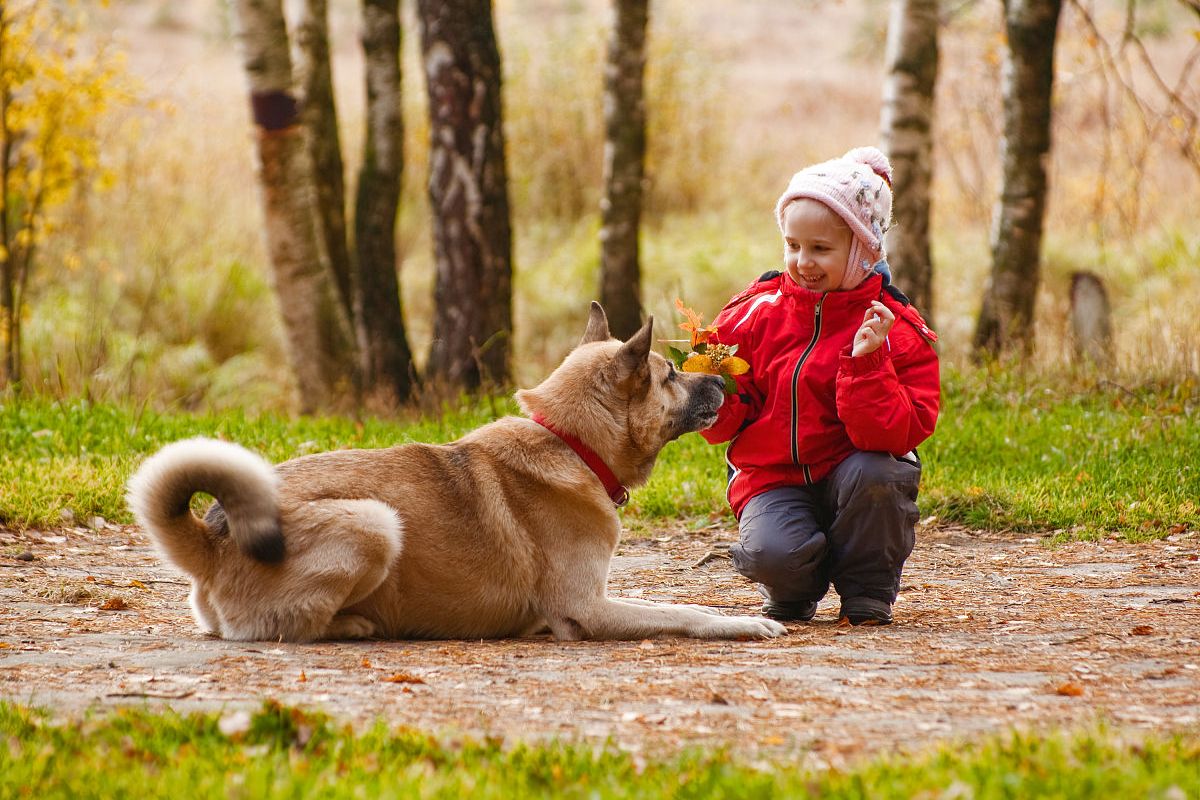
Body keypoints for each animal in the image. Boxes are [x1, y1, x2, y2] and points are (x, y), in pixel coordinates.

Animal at [129, 302, 787, 642]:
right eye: (670, 374)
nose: (722, 382)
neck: (572, 443)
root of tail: (210, 540)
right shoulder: (589, 607)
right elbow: (683, 612)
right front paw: (740, 624)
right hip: (374, 521)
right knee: (297, 627)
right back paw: (359, 625)